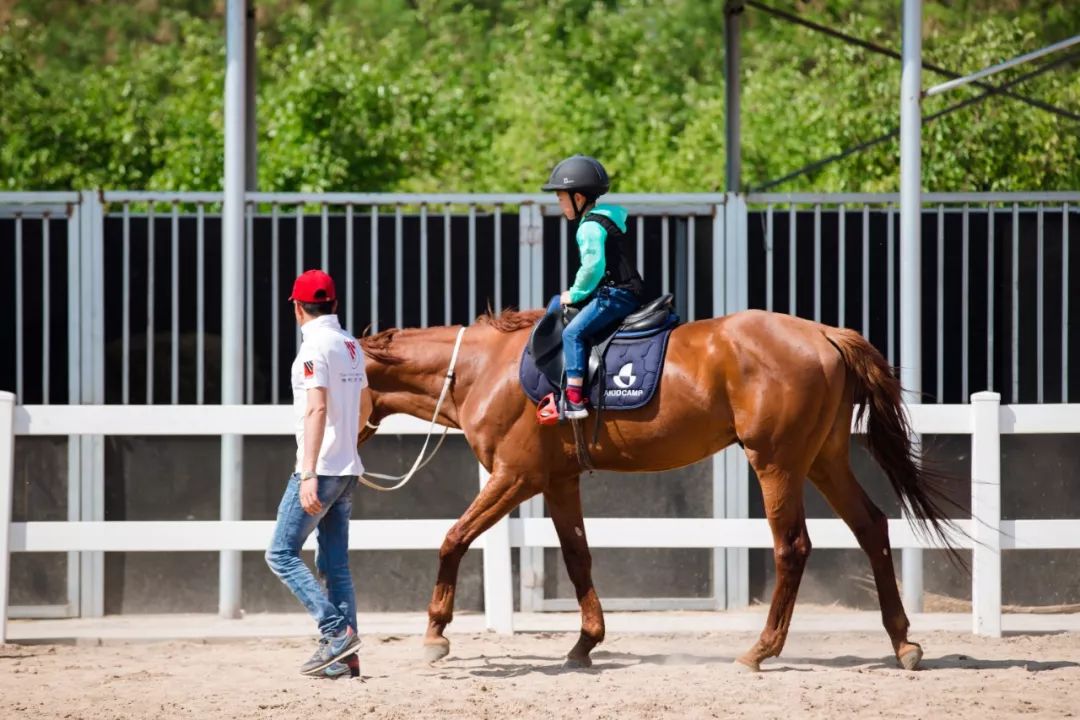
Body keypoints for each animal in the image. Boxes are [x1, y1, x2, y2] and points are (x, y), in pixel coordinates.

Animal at [358, 308, 959, 669]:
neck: (483, 370)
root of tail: (823, 333)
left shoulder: (516, 478)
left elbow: (453, 539)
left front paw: (435, 633)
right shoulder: (558, 481)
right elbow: (577, 557)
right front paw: (585, 642)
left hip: (777, 463)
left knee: (793, 547)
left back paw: (761, 649)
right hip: (825, 460)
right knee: (871, 528)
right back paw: (903, 642)